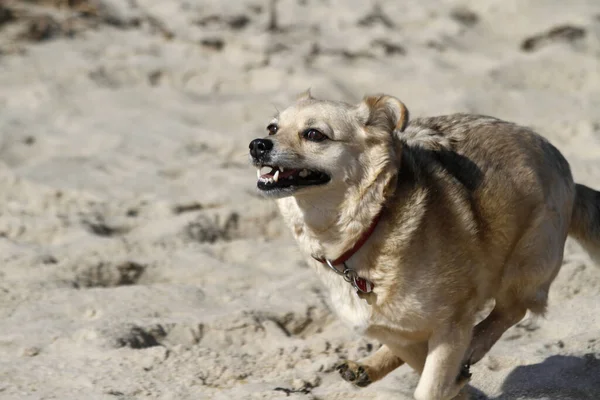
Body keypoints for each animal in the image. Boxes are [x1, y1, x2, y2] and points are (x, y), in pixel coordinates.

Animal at [246, 91, 596, 400]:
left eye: (314, 134)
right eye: (272, 128)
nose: (257, 144)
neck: (367, 228)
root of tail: (563, 167)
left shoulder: (452, 323)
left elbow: (431, 384)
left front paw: (457, 378)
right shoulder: (390, 328)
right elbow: (422, 362)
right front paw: (459, 388)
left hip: (524, 263)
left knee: (511, 310)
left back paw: (475, 343)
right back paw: (369, 366)